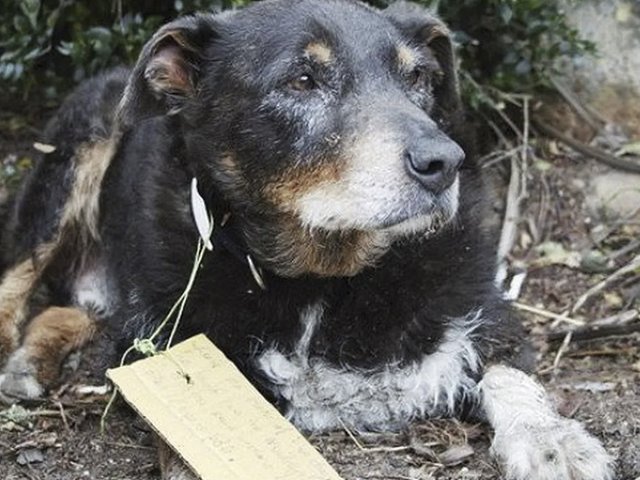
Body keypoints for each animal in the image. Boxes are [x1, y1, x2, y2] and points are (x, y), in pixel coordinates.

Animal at [0, 0, 612, 480]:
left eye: (417, 78)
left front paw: (552, 441)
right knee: (19, 280)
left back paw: (31, 361)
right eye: (301, 80)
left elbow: (513, 375)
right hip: (70, 162)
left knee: (71, 309)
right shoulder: (160, 338)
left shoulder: (489, 310)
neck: (325, 278)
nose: (444, 162)